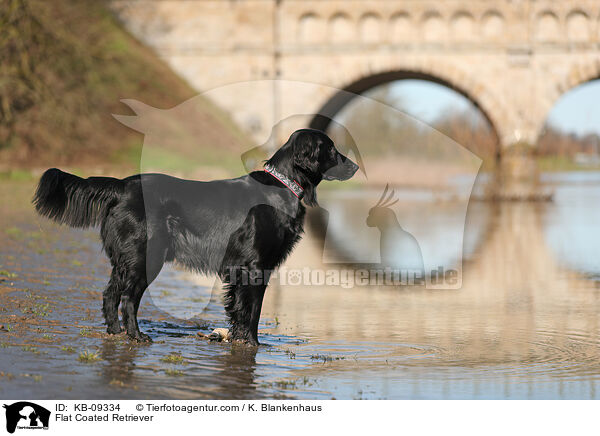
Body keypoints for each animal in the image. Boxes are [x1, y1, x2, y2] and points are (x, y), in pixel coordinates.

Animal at [34, 129, 356, 344]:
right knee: (128, 298)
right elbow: (252, 311)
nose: (354, 166)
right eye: (330, 149)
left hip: (125, 259)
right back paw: (137, 335)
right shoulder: (255, 267)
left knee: (110, 293)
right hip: (145, 257)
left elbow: (239, 310)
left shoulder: (242, 269)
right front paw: (252, 344)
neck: (282, 186)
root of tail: (122, 186)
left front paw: (236, 339)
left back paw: (115, 332)